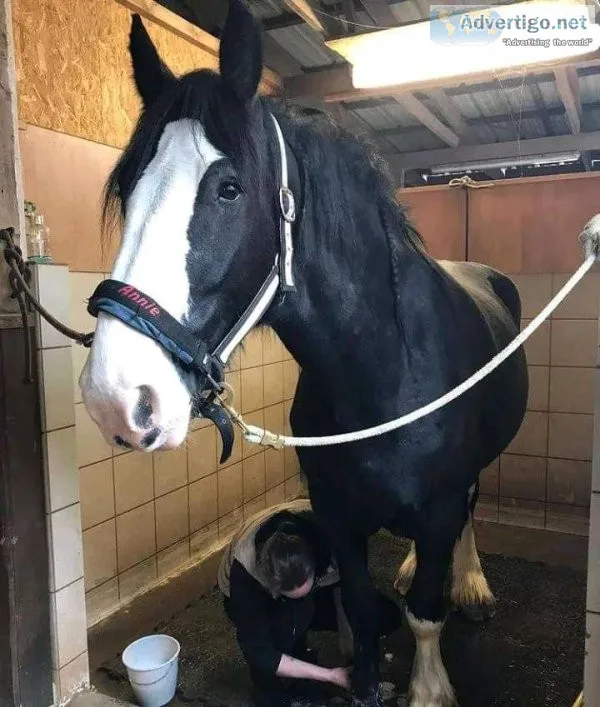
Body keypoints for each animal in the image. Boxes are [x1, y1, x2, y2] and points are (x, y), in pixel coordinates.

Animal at [80, 2, 528, 705]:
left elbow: (427, 612)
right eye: (127, 187)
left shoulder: (438, 504)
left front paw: (429, 687)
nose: (116, 396)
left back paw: (471, 582)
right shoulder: (337, 513)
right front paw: (365, 676)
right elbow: (363, 609)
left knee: (470, 515)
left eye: (229, 188)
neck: (384, 374)